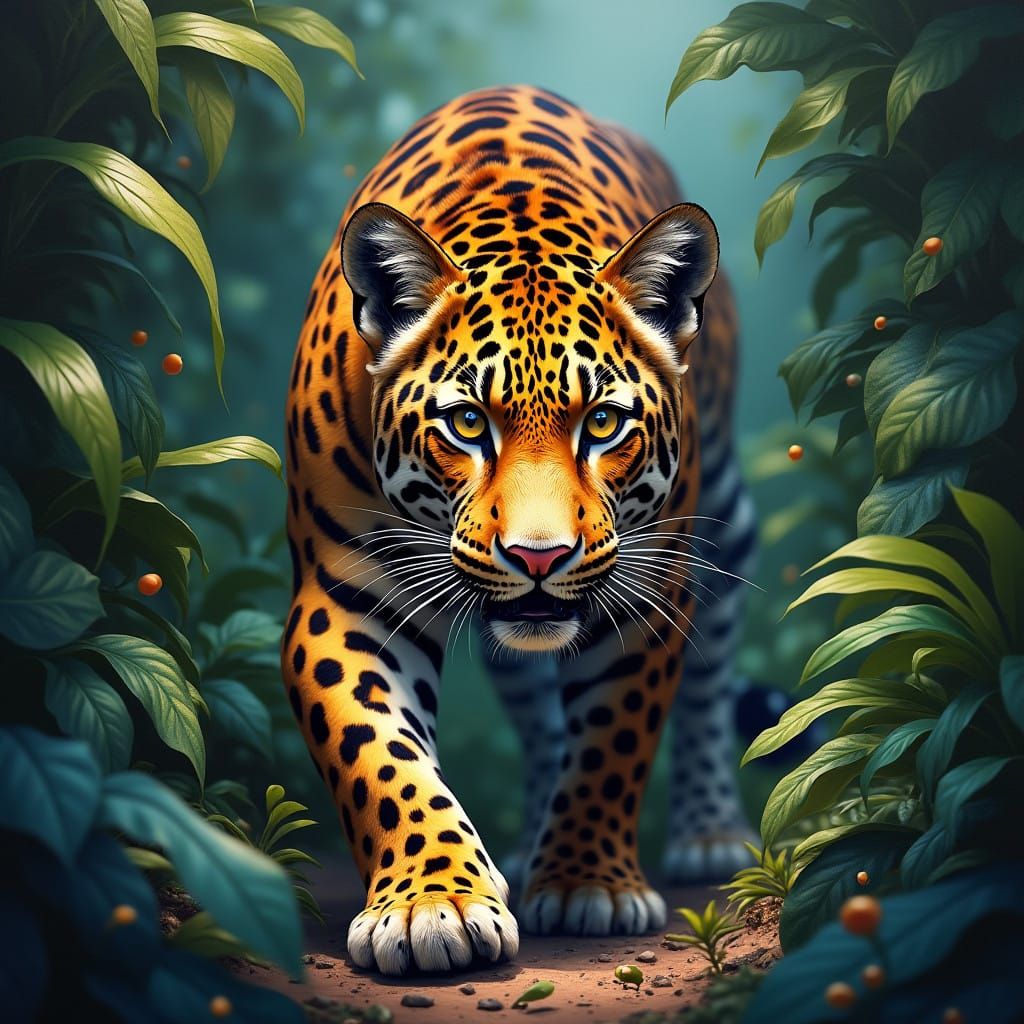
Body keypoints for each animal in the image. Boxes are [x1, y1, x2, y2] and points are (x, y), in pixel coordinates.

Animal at [282, 85, 757, 976]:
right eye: (468, 423)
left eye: (602, 423)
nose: (541, 557)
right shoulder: (344, 596)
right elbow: (379, 755)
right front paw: (434, 901)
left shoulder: (647, 587)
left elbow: (613, 740)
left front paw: (587, 884)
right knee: (539, 713)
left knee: (711, 663)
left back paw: (710, 829)